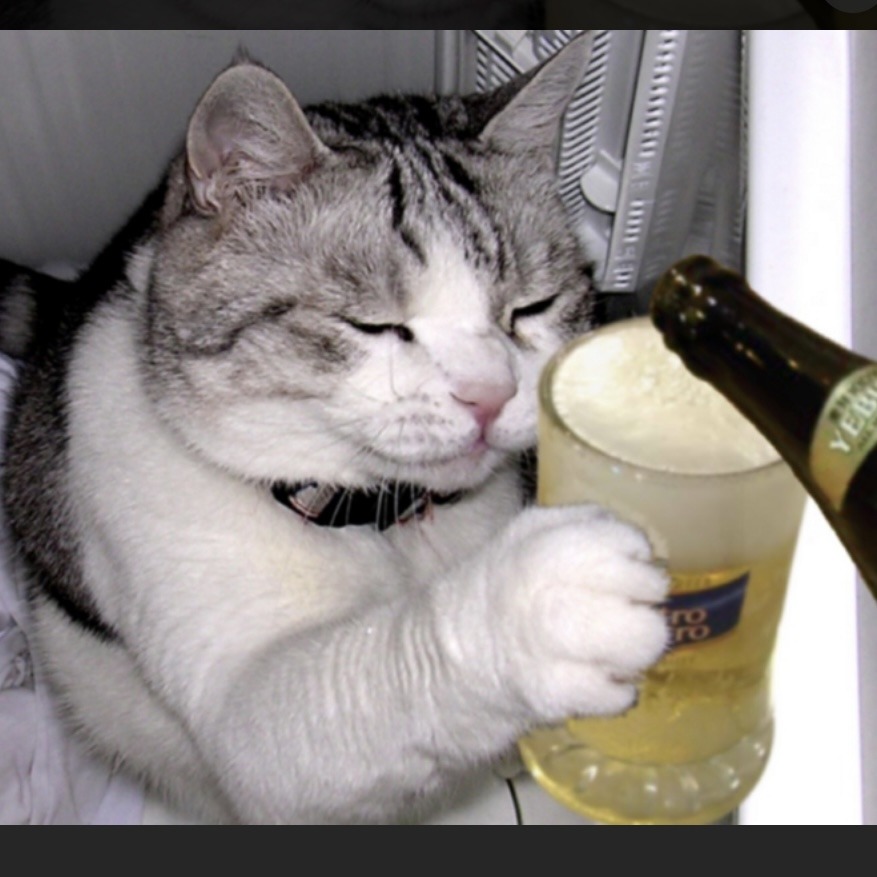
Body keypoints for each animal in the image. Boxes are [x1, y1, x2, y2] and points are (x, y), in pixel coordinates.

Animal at [0, 34, 668, 824]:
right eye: (373, 325)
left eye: (530, 308)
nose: (490, 394)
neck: (381, 521)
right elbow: (371, 679)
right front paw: (539, 604)